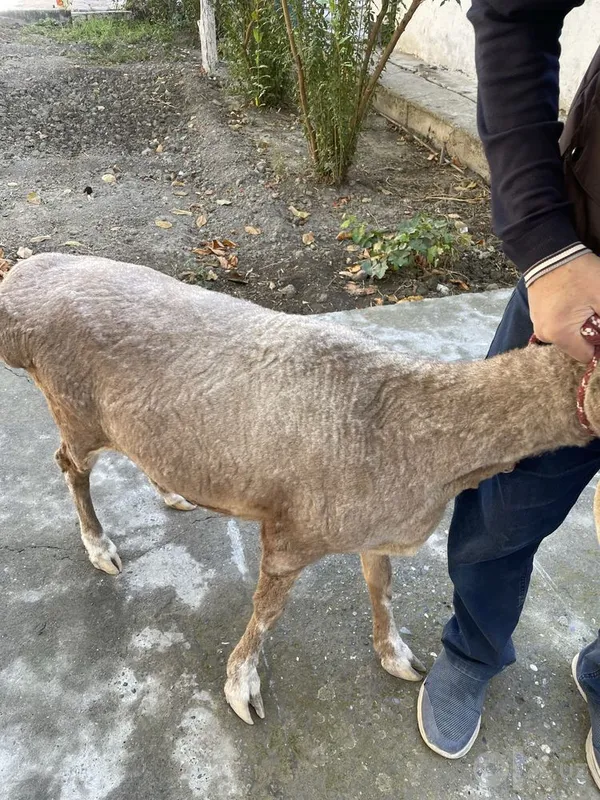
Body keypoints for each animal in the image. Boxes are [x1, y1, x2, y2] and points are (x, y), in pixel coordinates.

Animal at [0, 253, 595, 724]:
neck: (407, 429)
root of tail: (19, 290)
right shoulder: (294, 528)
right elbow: (268, 608)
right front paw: (242, 686)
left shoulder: (369, 524)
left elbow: (381, 585)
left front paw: (396, 655)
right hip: (74, 406)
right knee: (69, 464)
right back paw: (99, 545)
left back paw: (171, 490)